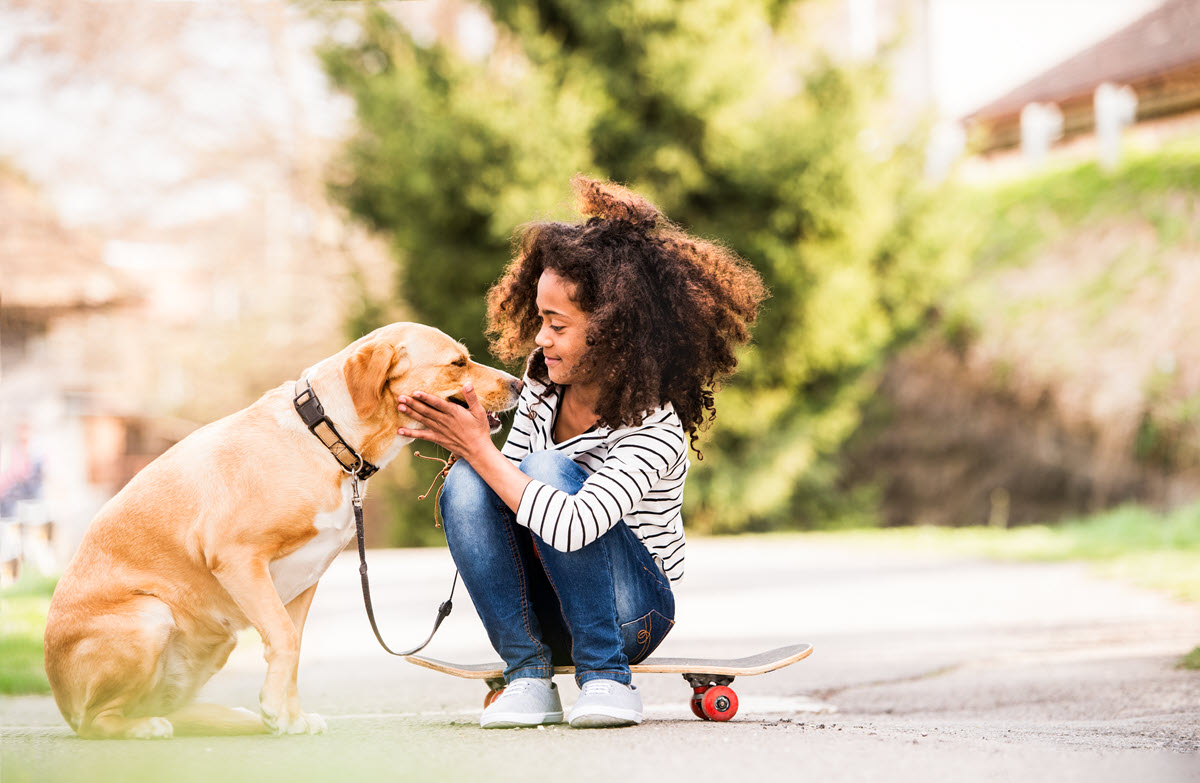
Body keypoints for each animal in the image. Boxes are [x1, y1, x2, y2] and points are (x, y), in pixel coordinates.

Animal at [44, 321, 520, 734]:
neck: (327, 439)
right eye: (457, 363)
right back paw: (143, 728)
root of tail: (60, 699)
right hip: (152, 616)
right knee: (97, 721)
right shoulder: (238, 558)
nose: (518, 383)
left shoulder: (305, 579)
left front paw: (289, 717)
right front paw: (278, 711)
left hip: (218, 639)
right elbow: (285, 639)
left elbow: (293, 644)